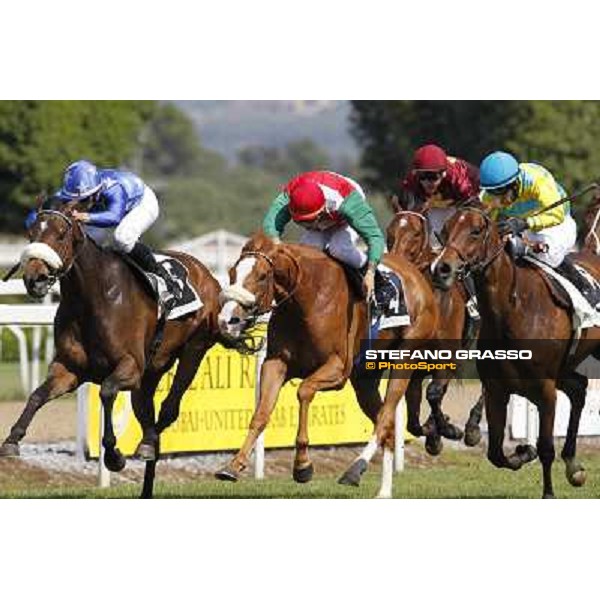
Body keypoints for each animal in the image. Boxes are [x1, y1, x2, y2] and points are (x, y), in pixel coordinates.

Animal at [0, 202, 223, 496]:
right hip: (149, 376)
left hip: (193, 351)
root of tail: (208, 274)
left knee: (168, 411)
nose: (34, 279)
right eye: (31, 234)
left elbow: (106, 391)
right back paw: (146, 469)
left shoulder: (130, 367)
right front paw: (11, 440)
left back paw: (149, 443)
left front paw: (114, 456)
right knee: (148, 418)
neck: (93, 297)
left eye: (60, 235)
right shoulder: (69, 370)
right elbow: (37, 395)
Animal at [216, 232, 436, 500]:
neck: (307, 300)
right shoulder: (275, 364)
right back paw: (383, 491)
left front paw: (302, 465)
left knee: (385, 416)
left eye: (262, 276)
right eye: (231, 273)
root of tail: (417, 276)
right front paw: (233, 465)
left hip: (406, 355)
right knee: (389, 429)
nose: (227, 320)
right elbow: (261, 413)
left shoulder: (337, 369)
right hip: (364, 379)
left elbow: (304, 391)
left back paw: (354, 469)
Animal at [386, 209, 486, 452]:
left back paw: (472, 428)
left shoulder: (446, 359)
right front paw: (435, 433)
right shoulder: (415, 365)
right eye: (389, 232)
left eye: (415, 233)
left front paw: (449, 429)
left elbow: (433, 393)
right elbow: (414, 422)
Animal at [432, 205, 600, 496]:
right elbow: (496, 454)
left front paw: (548, 493)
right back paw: (573, 465)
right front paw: (522, 452)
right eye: (445, 230)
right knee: (579, 389)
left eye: (476, 231)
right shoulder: (497, 390)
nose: (442, 268)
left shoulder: (545, 389)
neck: (513, 309)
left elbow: (546, 448)